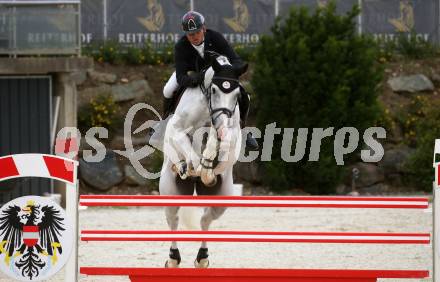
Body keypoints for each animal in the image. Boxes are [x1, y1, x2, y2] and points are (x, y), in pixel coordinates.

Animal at [159, 54, 248, 268]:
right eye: (214, 90)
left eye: (237, 95)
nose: (221, 123)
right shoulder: (177, 129)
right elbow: (189, 149)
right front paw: (193, 166)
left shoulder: (232, 132)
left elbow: (220, 141)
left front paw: (207, 167)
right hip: (171, 191)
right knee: (173, 220)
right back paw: (173, 259)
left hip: (222, 197)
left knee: (205, 220)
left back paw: (202, 258)